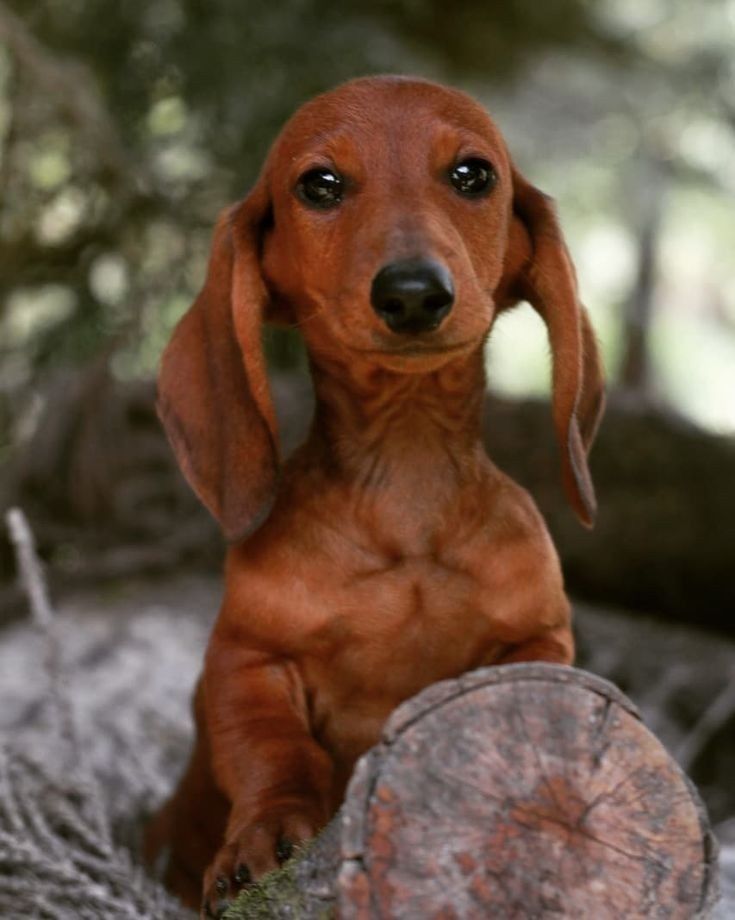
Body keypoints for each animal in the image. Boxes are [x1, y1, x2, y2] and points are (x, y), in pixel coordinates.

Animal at [148, 73, 604, 912]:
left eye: (472, 174)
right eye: (319, 185)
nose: (413, 293)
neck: (405, 483)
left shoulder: (541, 638)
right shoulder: (244, 659)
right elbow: (273, 750)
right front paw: (264, 832)